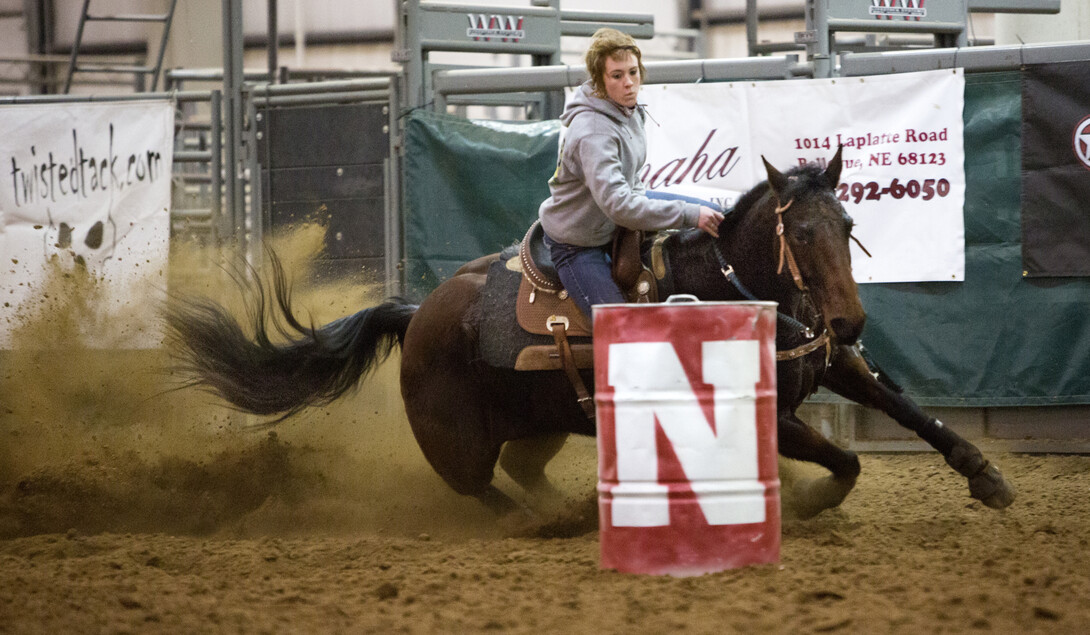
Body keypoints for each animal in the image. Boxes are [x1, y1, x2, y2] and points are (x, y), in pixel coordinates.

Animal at [167, 150, 1011, 522]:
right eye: (799, 232)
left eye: (847, 222)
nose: (848, 322)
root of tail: (417, 315)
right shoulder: (761, 407)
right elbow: (845, 458)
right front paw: (807, 498)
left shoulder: (825, 364)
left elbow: (911, 413)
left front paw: (986, 475)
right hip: (458, 445)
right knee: (487, 491)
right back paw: (558, 520)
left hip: (544, 420)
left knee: (523, 470)